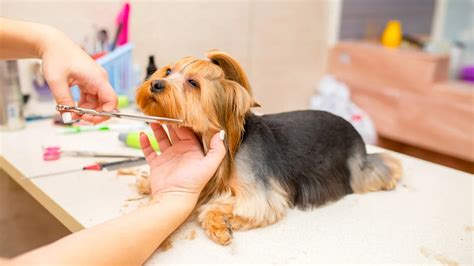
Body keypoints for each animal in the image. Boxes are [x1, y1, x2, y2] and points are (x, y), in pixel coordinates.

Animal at [135, 50, 402, 245]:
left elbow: (237, 207)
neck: (226, 139)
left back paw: (391, 177)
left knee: (377, 166)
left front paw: (224, 224)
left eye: (193, 83)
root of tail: (355, 132)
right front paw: (149, 182)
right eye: (169, 71)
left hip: (353, 166)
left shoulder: (259, 195)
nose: (155, 84)